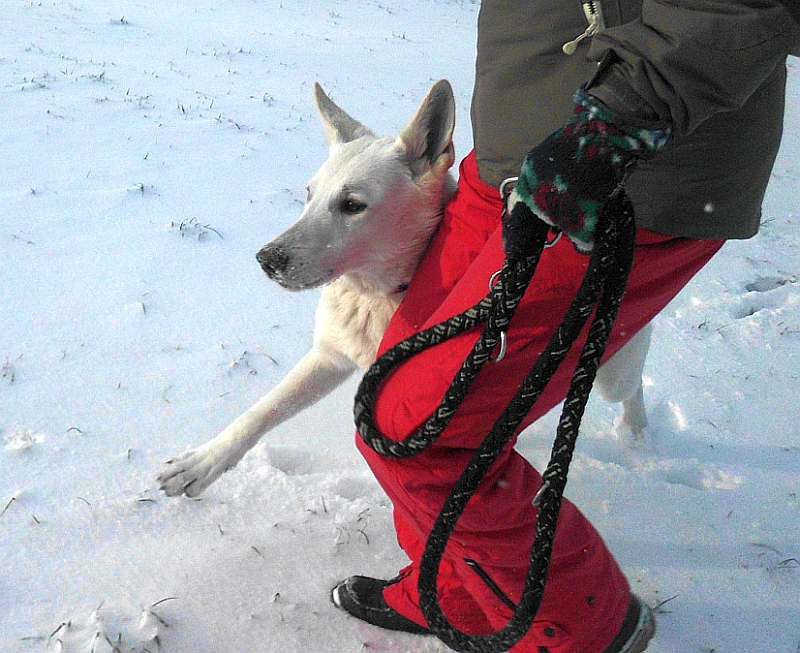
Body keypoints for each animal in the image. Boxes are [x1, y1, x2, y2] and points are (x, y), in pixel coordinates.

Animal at [158, 83, 648, 500]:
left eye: (352, 205)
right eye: (309, 194)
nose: (266, 260)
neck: (378, 294)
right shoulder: (329, 356)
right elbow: (261, 411)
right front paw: (204, 462)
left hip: (612, 371)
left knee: (632, 386)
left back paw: (637, 430)